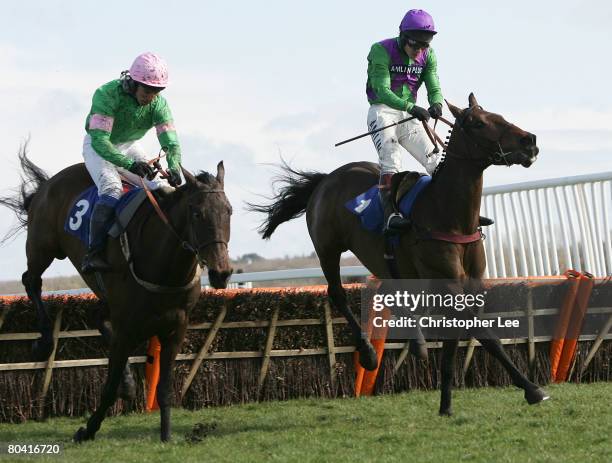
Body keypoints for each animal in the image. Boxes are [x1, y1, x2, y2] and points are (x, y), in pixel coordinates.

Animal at [0, 146, 233, 442]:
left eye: (229, 211)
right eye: (196, 213)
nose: (221, 273)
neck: (163, 267)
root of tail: (47, 184)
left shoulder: (176, 327)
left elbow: (165, 389)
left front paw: (166, 436)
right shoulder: (126, 326)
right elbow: (109, 389)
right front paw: (87, 429)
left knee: (98, 316)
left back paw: (128, 382)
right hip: (42, 246)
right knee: (31, 280)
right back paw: (44, 341)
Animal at [252, 94, 548, 416]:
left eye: (500, 115)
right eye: (479, 123)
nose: (530, 141)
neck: (448, 214)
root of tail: (326, 179)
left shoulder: (471, 285)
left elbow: (461, 339)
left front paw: (446, 404)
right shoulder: (448, 283)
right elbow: (487, 338)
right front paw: (532, 389)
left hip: (381, 259)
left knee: (390, 289)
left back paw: (416, 343)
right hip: (328, 249)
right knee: (337, 293)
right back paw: (369, 353)